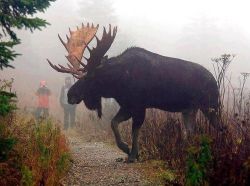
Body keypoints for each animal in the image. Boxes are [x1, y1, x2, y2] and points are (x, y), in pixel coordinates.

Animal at [47, 23, 220, 163]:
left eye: (89, 77)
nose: (70, 95)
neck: (118, 82)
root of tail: (215, 81)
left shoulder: (139, 105)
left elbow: (134, 130)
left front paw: (132, 154)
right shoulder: (127, 105)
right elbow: (113, 122)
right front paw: (126, 148)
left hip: (211, 106)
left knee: (219, 128)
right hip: (189, 110)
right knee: (191, 132)